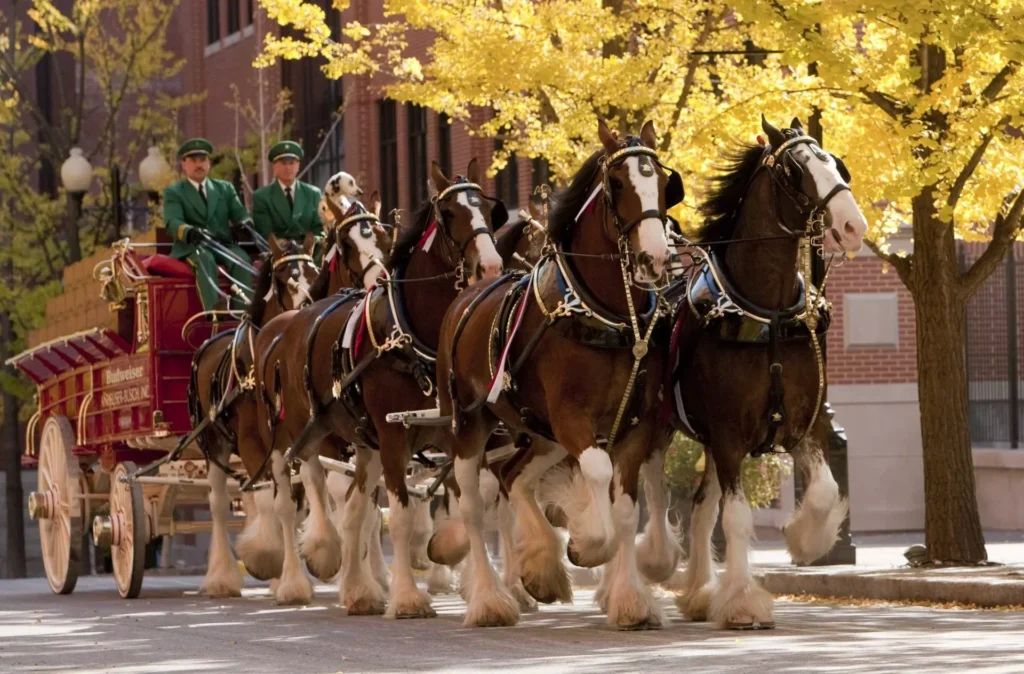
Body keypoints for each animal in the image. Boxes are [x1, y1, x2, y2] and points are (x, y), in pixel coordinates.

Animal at [188, 233, 321, 594]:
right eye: (285, 278)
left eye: (314, 273)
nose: (308, 308)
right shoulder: (253, 443)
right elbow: (271, 503)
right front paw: (268, 559)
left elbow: (295, 503)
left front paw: (291, 573)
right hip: (215, 444)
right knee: (219, 504)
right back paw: (220, 576)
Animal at [436, 119, 684, 622]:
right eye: (617, 184)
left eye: (664, 184)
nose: (655, 257)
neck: (608, 314)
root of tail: (467, 294)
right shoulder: (573, 418)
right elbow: (598, 475)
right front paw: (588, 544)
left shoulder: (637, 424)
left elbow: (625, 509)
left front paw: (630, 600)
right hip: (469, 424)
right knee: (473, 504)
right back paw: (491, 599)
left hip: (538, 431)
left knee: (514, 479)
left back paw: (539, 569)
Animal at [667, 115, 868, 622]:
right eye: (797, 171)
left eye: (836, 163)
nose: (853, 225)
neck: (769, 314)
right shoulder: (728, 432)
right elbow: (736, 518)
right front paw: (743, 600)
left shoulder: (802, 422)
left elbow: (825, 490)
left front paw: (806, 541)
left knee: (701, 506)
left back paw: (698, 590)